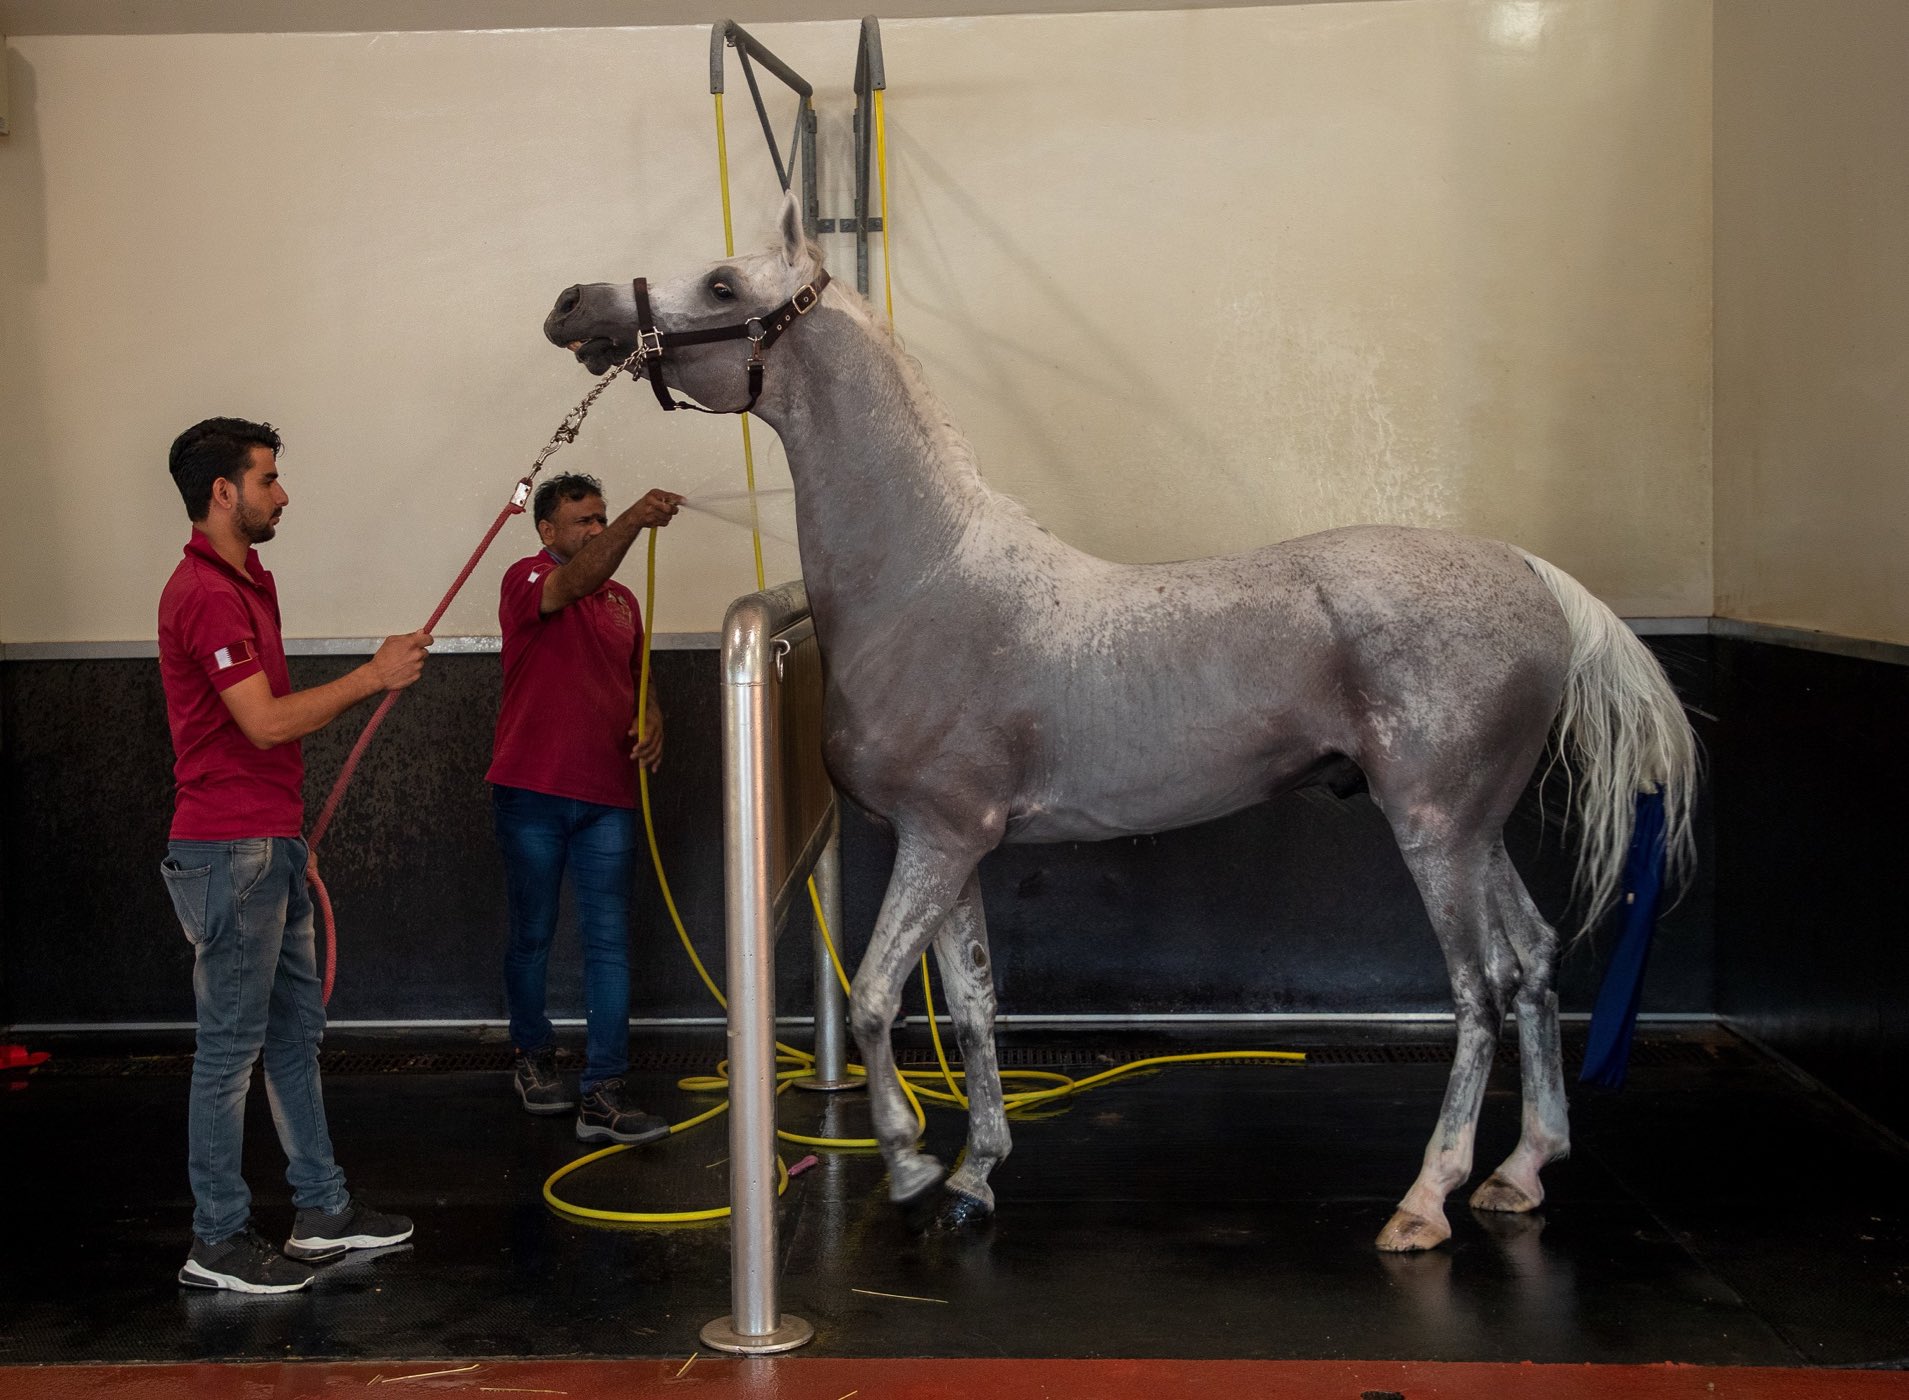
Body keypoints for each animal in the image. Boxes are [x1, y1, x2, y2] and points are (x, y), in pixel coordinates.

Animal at [542, 194, 1696, 1252]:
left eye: (723, 285)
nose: (575, 305)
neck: (922, 576)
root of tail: (1534, 575)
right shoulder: (953, 846)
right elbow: (970, 1005)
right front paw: (973, 1176)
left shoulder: (938, 838)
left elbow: (871, 999)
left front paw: (910, 1164)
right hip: (1474, 830)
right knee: (1535, 959)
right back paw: (1522, 1170)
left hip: (1434, 833)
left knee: (1479, 989)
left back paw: (1427, 1198)